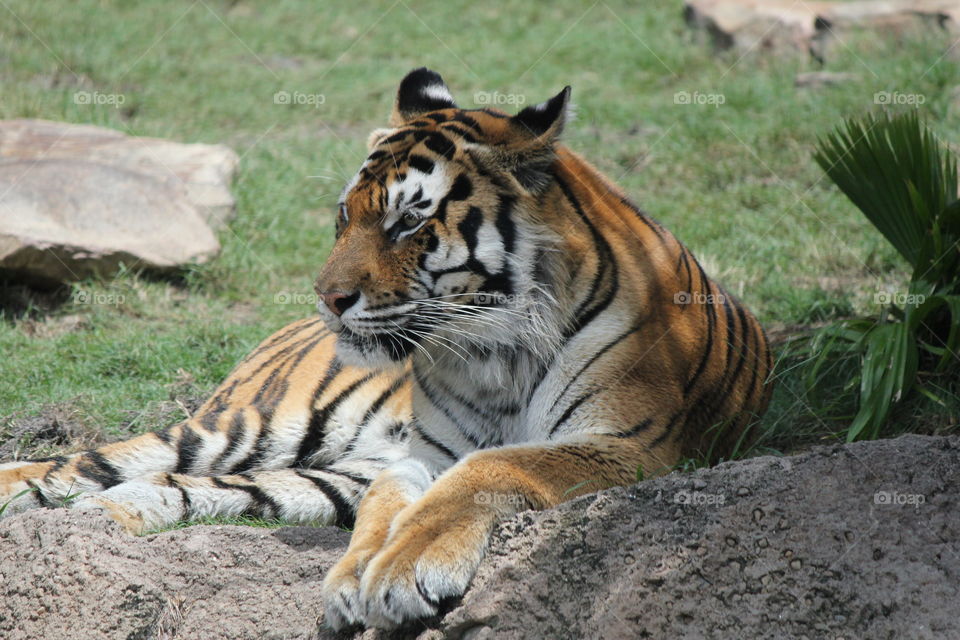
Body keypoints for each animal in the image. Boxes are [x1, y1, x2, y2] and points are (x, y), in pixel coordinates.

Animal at [0, 67, 772, 628]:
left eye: (407, 222)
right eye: (346, 216)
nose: (327, 297)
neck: (496, 347)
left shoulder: (631, 444)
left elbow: (493, 466)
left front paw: (400, 572)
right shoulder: (419, 454)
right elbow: (388, 504)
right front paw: (357, 578)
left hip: (305, 472)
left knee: (177, 487)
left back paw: (110, 514)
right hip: (246, 425)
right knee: (88, 462)